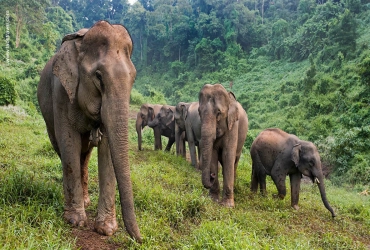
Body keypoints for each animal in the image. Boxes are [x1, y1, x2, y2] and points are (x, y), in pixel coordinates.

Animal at [37, 21, 142, 242]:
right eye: (99, 77)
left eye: (133, 78)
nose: (140, 239)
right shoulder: (61, 93)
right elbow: (69, 143)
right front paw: (75, 221)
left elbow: (107, 149)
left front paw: (106, 229)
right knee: (65, 151)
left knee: (84, 155)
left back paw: (85, 201)